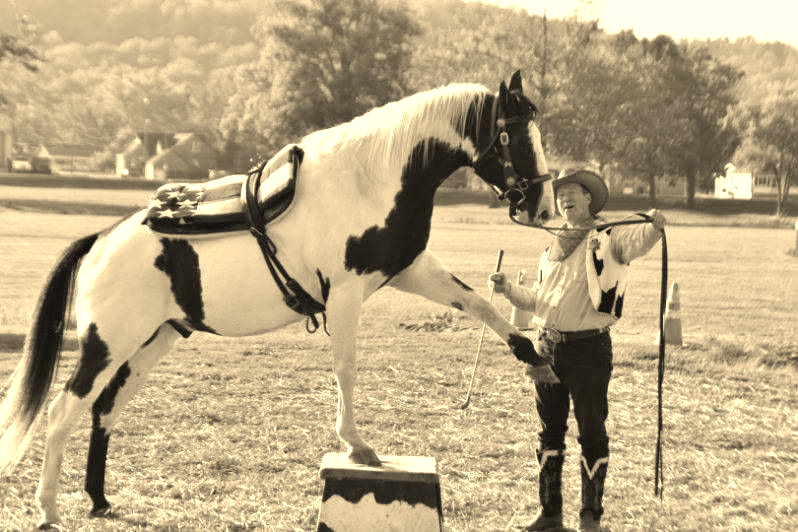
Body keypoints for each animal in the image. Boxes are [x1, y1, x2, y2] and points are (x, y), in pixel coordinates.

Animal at [0, 71, 557, 528]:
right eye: (511, 134)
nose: (544, 206)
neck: (369, 179)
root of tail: (100, 241)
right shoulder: (347, 294)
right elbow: (346, 367)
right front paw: (355, 444)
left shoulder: (410, 270)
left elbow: (481, 305)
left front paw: (534, 356)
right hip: (106, 346)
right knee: (62, 412)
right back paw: (48, 509)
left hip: (153, 341)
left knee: (104, 409)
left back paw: (98, 500)